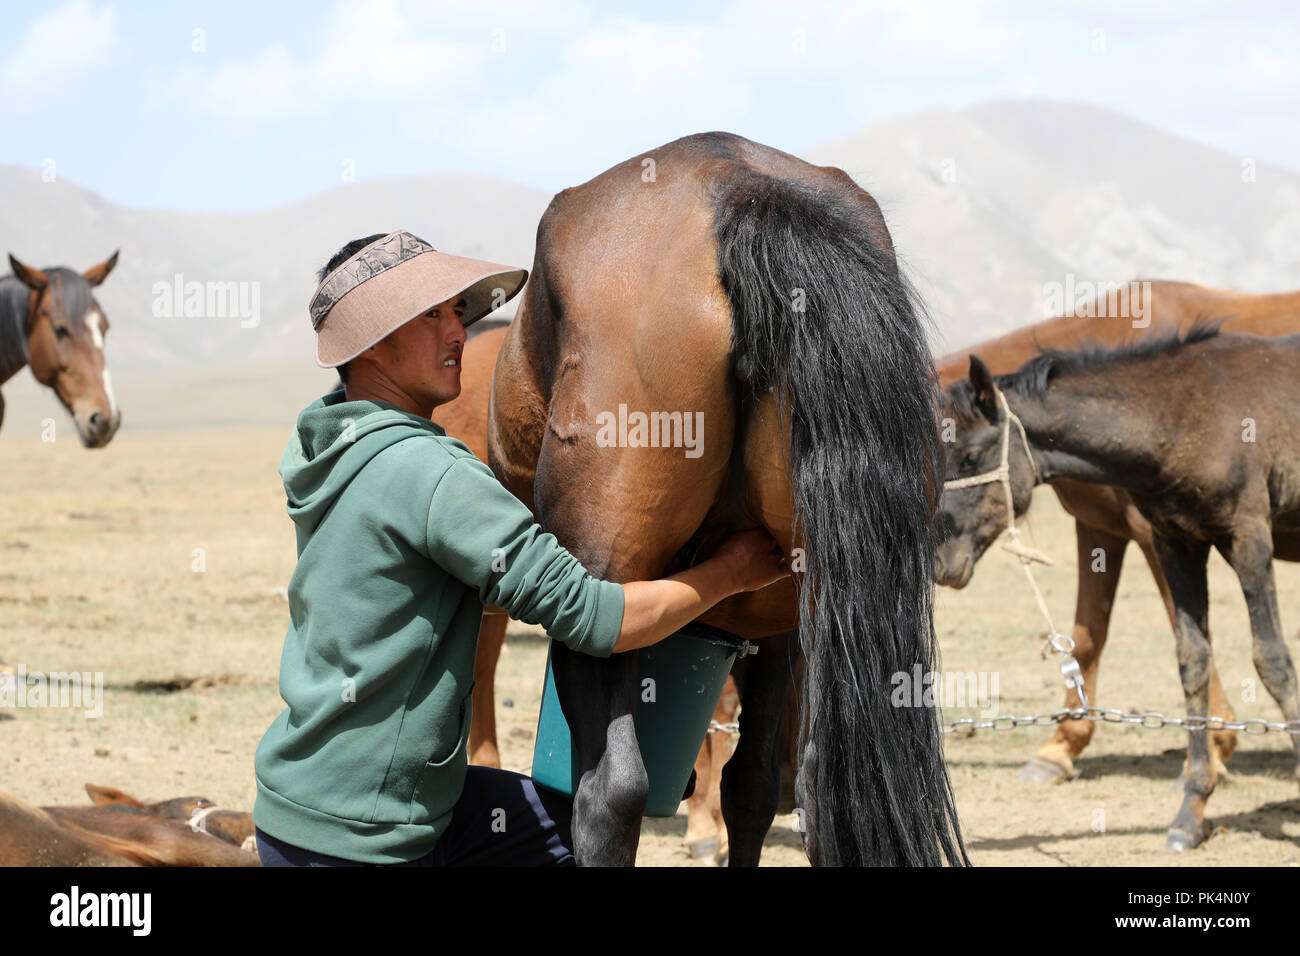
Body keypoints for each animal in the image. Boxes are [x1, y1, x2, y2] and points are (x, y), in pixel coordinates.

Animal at [489, 131, 965, 866]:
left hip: (596, 594)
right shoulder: (776, 625)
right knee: (820, 782)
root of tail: (739, 186)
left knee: (608, 791)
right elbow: (754, 785)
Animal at [941, 326, 1300, 850]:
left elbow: (1272, 660)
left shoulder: (1249, 535)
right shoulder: (1176, 542)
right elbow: (1192, 660)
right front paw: (1191, 812)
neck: (1182, 416)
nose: (940, 562)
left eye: (970, 456)